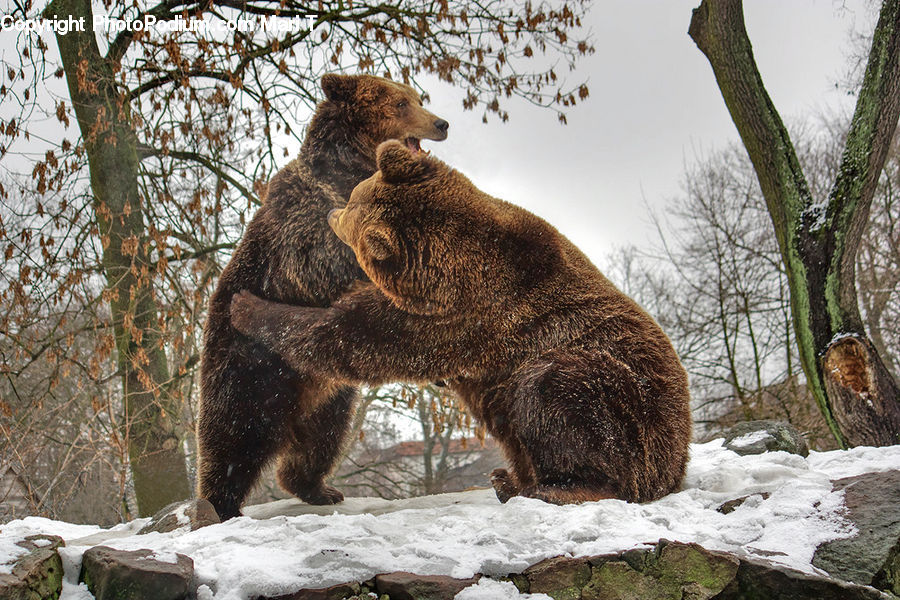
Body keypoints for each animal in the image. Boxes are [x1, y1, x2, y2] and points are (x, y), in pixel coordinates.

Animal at [198, 75, 449, 520]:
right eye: (401, 103)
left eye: (417, 98)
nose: (441, 123)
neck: (352, 168)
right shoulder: (308, 224)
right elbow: (334, 257)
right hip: (246, 370)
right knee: (234, 437)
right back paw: (220, 505)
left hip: (330, 394)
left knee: (322, 440)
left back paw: (318, 487)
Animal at [228, 141, 693, 505]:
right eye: (356, 194)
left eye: (350, 213)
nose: (331, 214)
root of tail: (678, 460)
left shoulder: (460, 318)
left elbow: (353, 337)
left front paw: (245, 306)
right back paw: (509, 479)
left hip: (632, 412)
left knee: (556, 389)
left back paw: (546, 486)